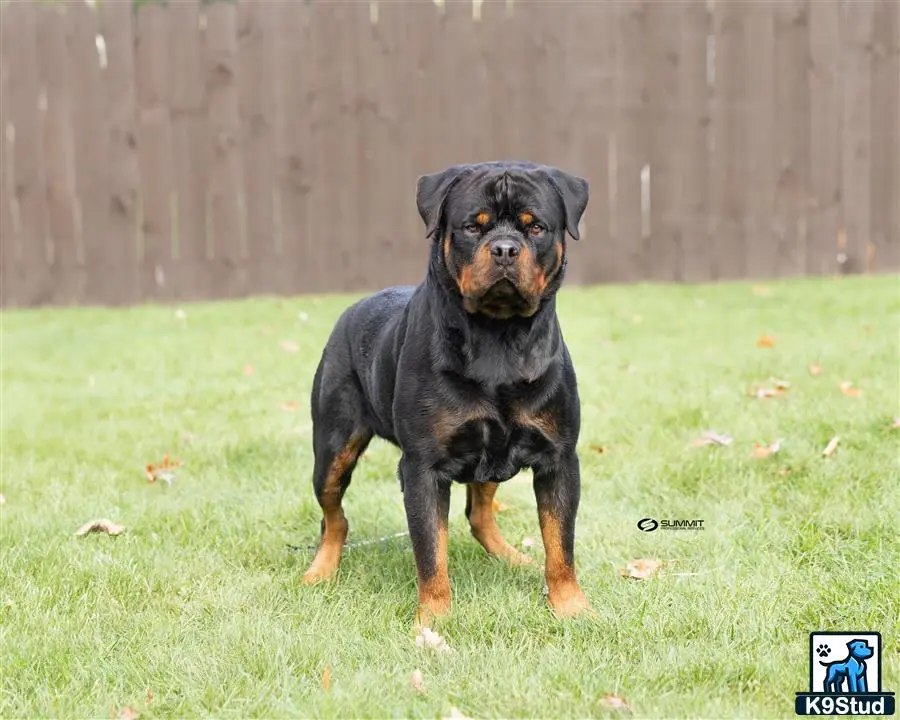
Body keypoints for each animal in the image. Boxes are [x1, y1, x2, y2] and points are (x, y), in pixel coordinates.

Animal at [306, 160, 596, 628]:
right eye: (471, 227)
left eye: (536, 227)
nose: (505, 249)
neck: (498, 338)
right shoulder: (422, 468)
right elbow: (431, 552)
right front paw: (434, 619)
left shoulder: (559, 459)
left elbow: (560, 544)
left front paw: (571, 606)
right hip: (333, 445)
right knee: (333, 516)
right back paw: (320, 571)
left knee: (479, 513)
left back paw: (513, 558)